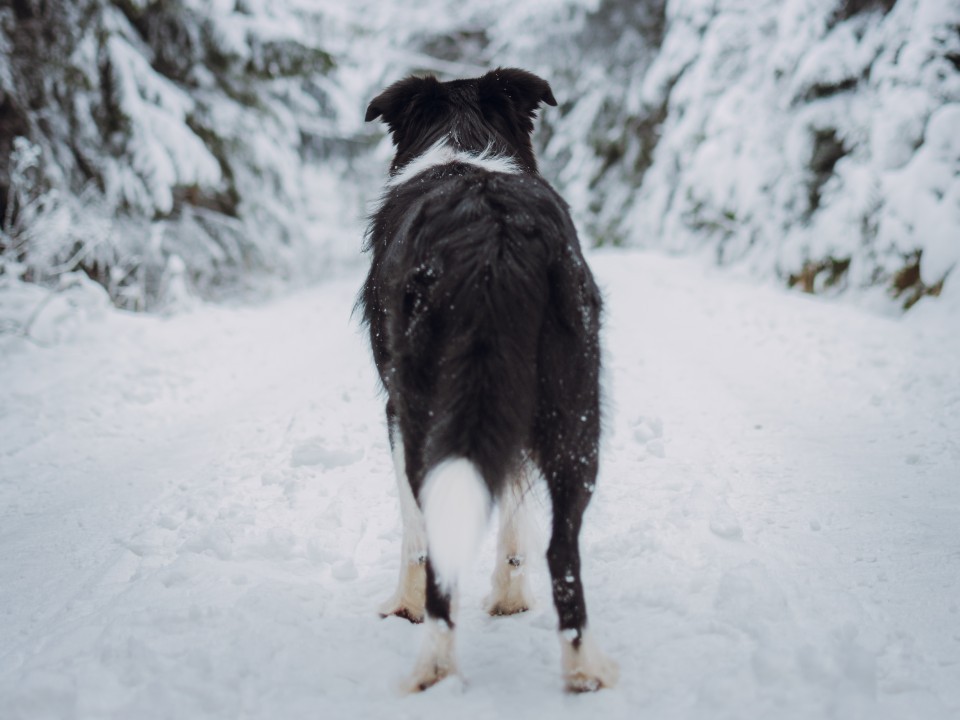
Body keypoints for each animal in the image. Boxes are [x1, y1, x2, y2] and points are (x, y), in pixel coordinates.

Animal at [358, 67, 616, 692]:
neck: (463, 141)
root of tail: (495, 239)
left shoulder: (394, 412)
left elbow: (417, 534)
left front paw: (402, 606)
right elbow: (515, 512)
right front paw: (510, 598)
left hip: (428, 406)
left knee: (440, 547)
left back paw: (432, 666)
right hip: (575, 410)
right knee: (562, 551)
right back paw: (584, 670)